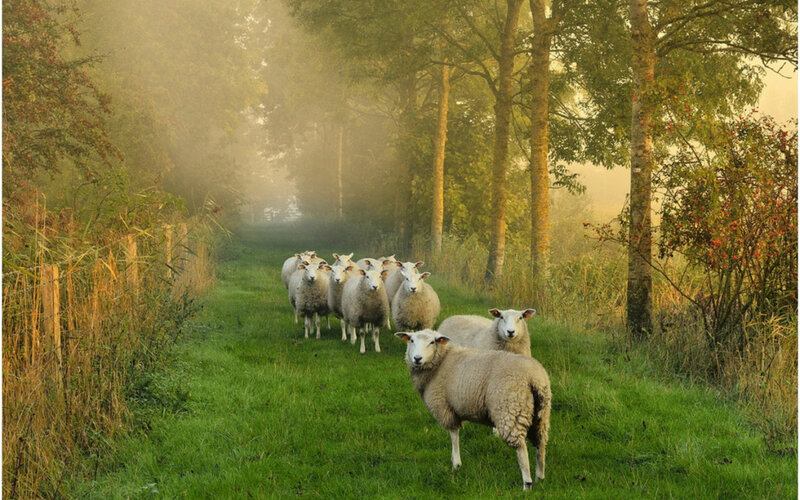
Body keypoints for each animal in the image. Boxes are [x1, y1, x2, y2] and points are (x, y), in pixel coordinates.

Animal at [394, 329, 551, 490]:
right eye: (411, 340)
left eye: (432, 342)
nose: (417, 358)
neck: (441, 362)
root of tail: (534, 378)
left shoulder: (445, 408)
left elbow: (454, 435)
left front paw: (456, 463)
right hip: (540, 414)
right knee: (540, 443)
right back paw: (540, 476)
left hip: (510, 410)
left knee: (521, 448)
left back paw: (527, 484)